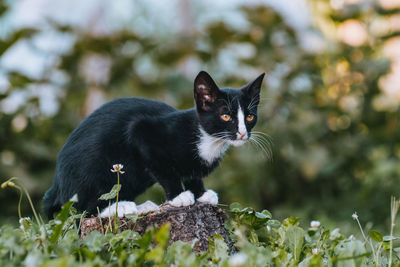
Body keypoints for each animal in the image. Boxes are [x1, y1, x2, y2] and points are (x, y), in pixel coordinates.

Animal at [42, 71, 264, 220]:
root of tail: (56, 185)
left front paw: (201, 193)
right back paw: (120, 208)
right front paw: (179, 196)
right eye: (225, 116)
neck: (208, 139)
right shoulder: (142, 131)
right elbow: (165, 170)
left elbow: (192, 173)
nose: (242, 133)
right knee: (81, 210)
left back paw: (142, 206)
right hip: (98, 169)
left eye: (250, 117)